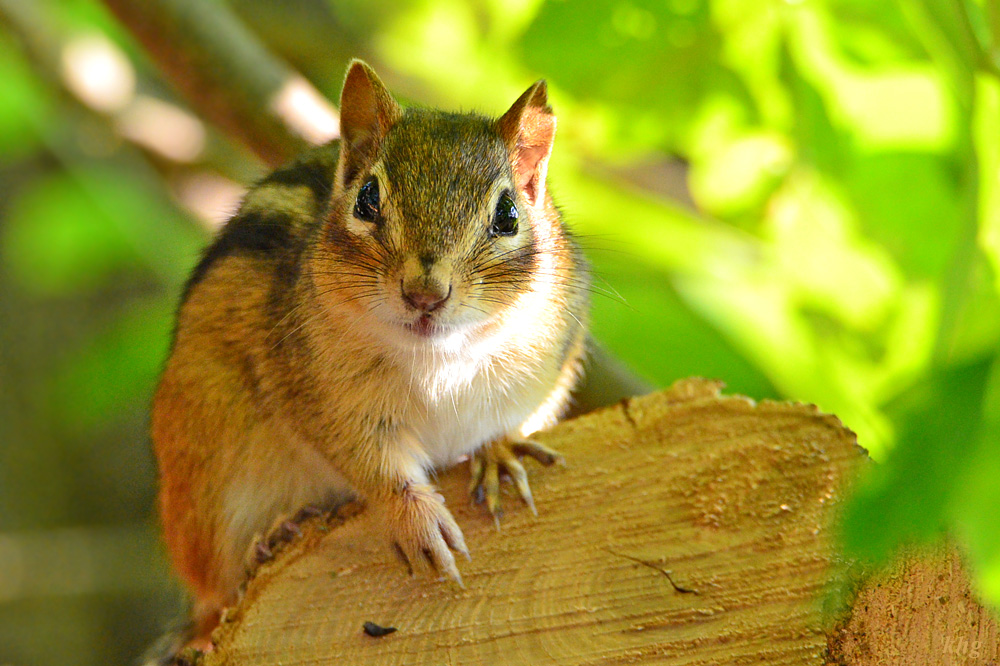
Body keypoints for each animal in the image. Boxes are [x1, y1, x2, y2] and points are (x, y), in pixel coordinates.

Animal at [150, 59, 590, 657]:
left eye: (507, 215)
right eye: (366, 199)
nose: (425, 293)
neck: (441, 360)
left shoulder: (554, 365)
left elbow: (515, 423)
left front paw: (498, 453)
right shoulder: (320, 395)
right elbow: (373, 466)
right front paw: (417, 522)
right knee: (218, 594)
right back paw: (276, 534)